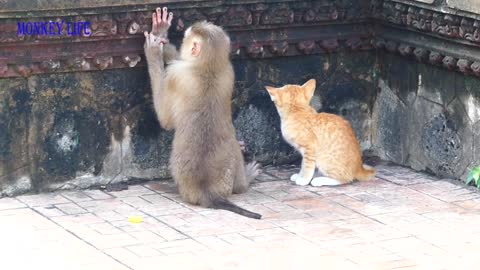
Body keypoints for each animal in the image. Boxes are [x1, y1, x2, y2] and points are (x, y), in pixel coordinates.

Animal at [143, 7, 262, 218]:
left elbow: (165, 120)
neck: (208, 67)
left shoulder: (177, 74)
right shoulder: (228, 69)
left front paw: (155, 51)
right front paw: (162, 34)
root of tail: (208, 191)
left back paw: (244, 182)